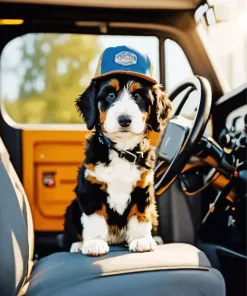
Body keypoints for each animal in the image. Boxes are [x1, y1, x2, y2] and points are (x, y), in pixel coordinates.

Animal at [63, 46, 172, 256]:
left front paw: (141, 240)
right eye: (110, 95)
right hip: (72, 207)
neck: (122, 150)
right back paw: (77, 244)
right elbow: (94, 218)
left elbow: (140, 216)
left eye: (138, 96)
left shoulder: (143, 188)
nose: (124, 119)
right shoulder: (91, 187)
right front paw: (94, 243)